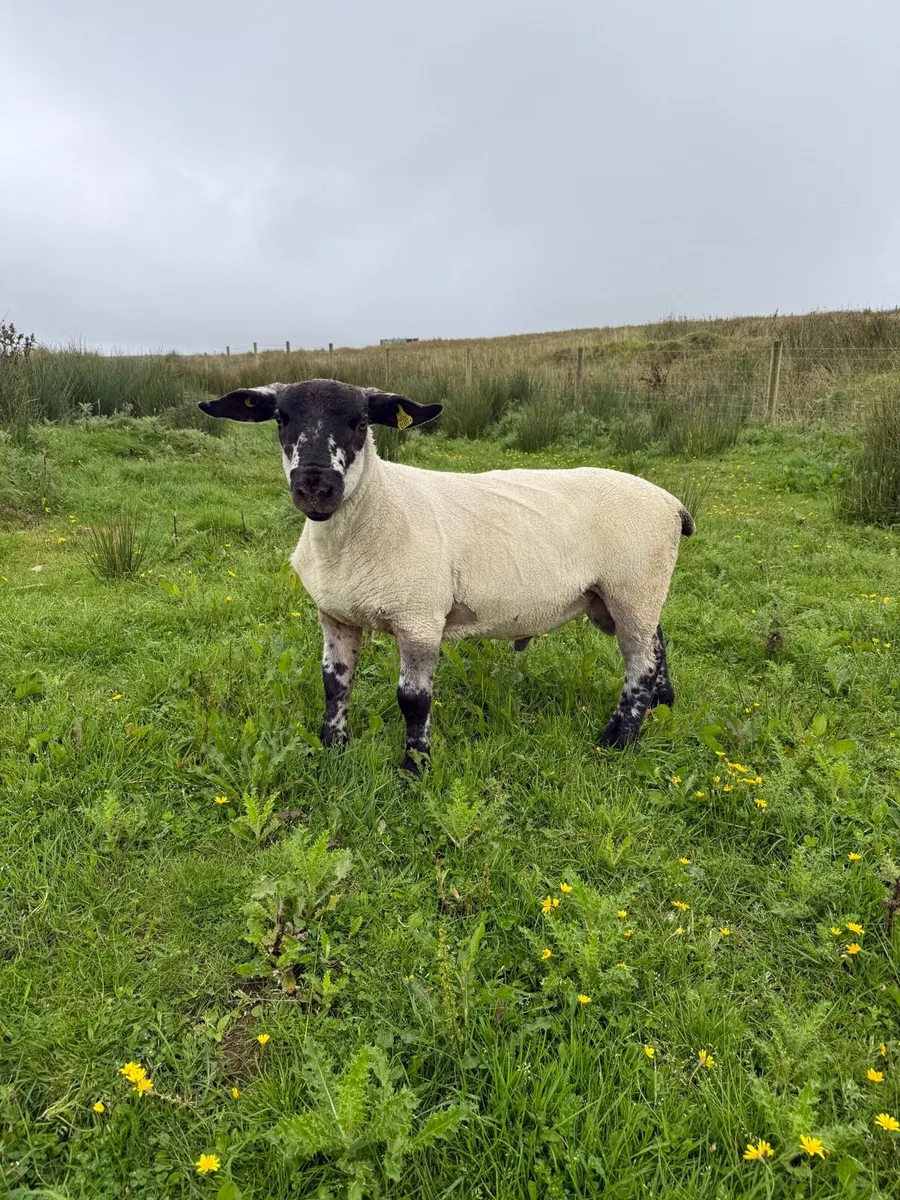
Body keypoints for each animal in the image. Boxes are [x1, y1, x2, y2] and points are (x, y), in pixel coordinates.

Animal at [199, 378, 695, 770]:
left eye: (360, 423)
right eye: (281, 419)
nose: (316, 486)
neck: (375, 512)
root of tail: (672, 504)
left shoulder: (419, 619)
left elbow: (413, 700)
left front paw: (415, 766)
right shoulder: (335, 616)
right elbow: (334, 684)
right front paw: (332, 748)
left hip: (633, 587)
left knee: (640, 662)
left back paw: (618, 740)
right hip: (621, 596)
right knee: (658, 641)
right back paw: (663, 705)